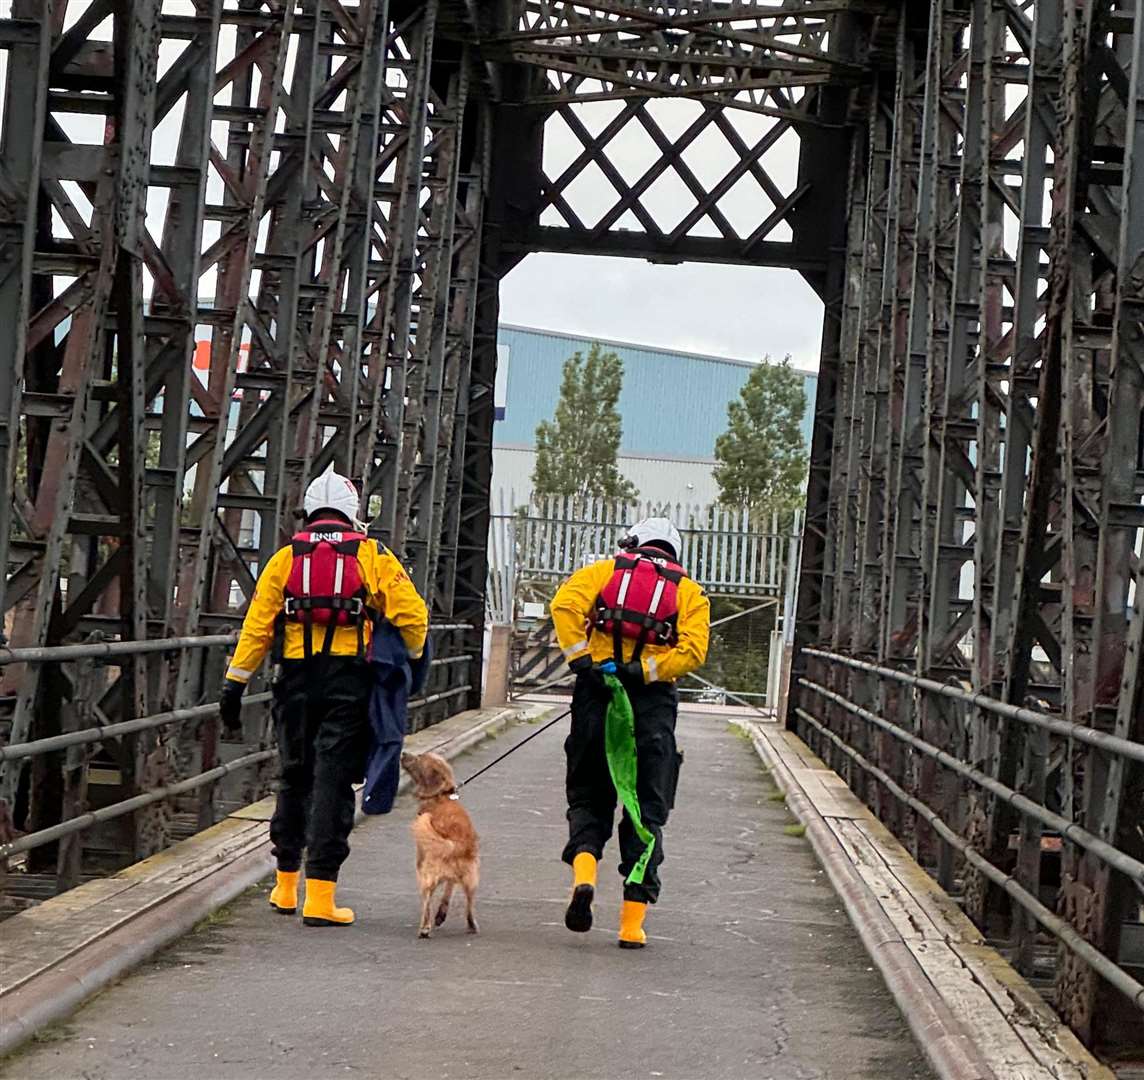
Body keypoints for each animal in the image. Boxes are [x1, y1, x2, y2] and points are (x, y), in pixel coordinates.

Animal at [400, 750, 480, 938]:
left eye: (419, 758)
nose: (403, 752)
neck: (441, 795)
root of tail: (455, 843)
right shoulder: (454, 877)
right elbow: (448, 891)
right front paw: (441, 914)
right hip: (471, 878)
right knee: (469, 905)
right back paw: (471, 925)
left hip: (425, 875)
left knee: (426, 903)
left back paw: (424, 928)